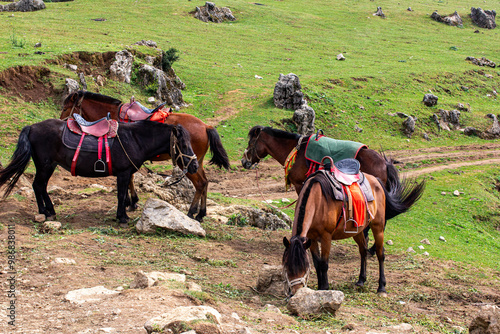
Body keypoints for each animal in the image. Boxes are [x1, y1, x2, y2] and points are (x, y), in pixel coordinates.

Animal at [0, 118, 199, 226]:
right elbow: (121, 194)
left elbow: (124, 194)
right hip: (45, 165)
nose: (195, 166)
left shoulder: (126, 174)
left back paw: (49, 210)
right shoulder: (123, 173)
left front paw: (123, 213)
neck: (135, 139)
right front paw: (122, 217)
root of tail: (32, 127)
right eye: (183, 145)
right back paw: (45, 211)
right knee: (38, 185)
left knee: (40, 186)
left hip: (49, 166)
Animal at [60, 90, 230, 222]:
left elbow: (129, 179)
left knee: (200, 183)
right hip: (196, 161)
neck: (113, 115)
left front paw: (130, 202)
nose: (61, 120)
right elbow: (130, 178)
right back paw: (201, 213)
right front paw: (132, 201)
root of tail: (206, 126)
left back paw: (191, 211)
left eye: (65, 107)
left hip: (186, 163)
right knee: (205, 182)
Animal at [284, 168, 420, 296]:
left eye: (303, 267)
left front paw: (324, 288)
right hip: (358, 231)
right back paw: (361, 280)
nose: (295, 292)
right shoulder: (311, 238)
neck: (318, 200)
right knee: (363, 250)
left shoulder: (326, 237)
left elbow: (324, 264)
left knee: (380, 254)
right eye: (286, 266)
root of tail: (376, 181)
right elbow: (317, 264)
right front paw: (319, 287)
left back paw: (381, 287)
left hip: (378, 227)